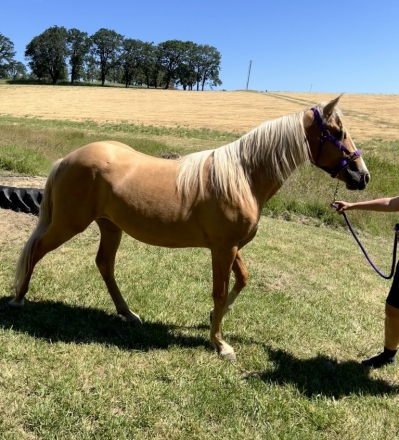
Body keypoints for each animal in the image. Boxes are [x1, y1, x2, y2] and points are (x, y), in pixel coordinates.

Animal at [9, 94, 372, 360]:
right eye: (337, 133)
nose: (362, 176)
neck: (242, 176)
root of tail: (67, 159)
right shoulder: (223, 249)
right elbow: (220, 290)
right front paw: (220, 344)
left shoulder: (232, 248)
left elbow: (242, 280)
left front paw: (213, 322)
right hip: (69, 224)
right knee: (37, 250)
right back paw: (19, 299)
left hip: (110, 227)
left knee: (104, 265)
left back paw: (128, 314)